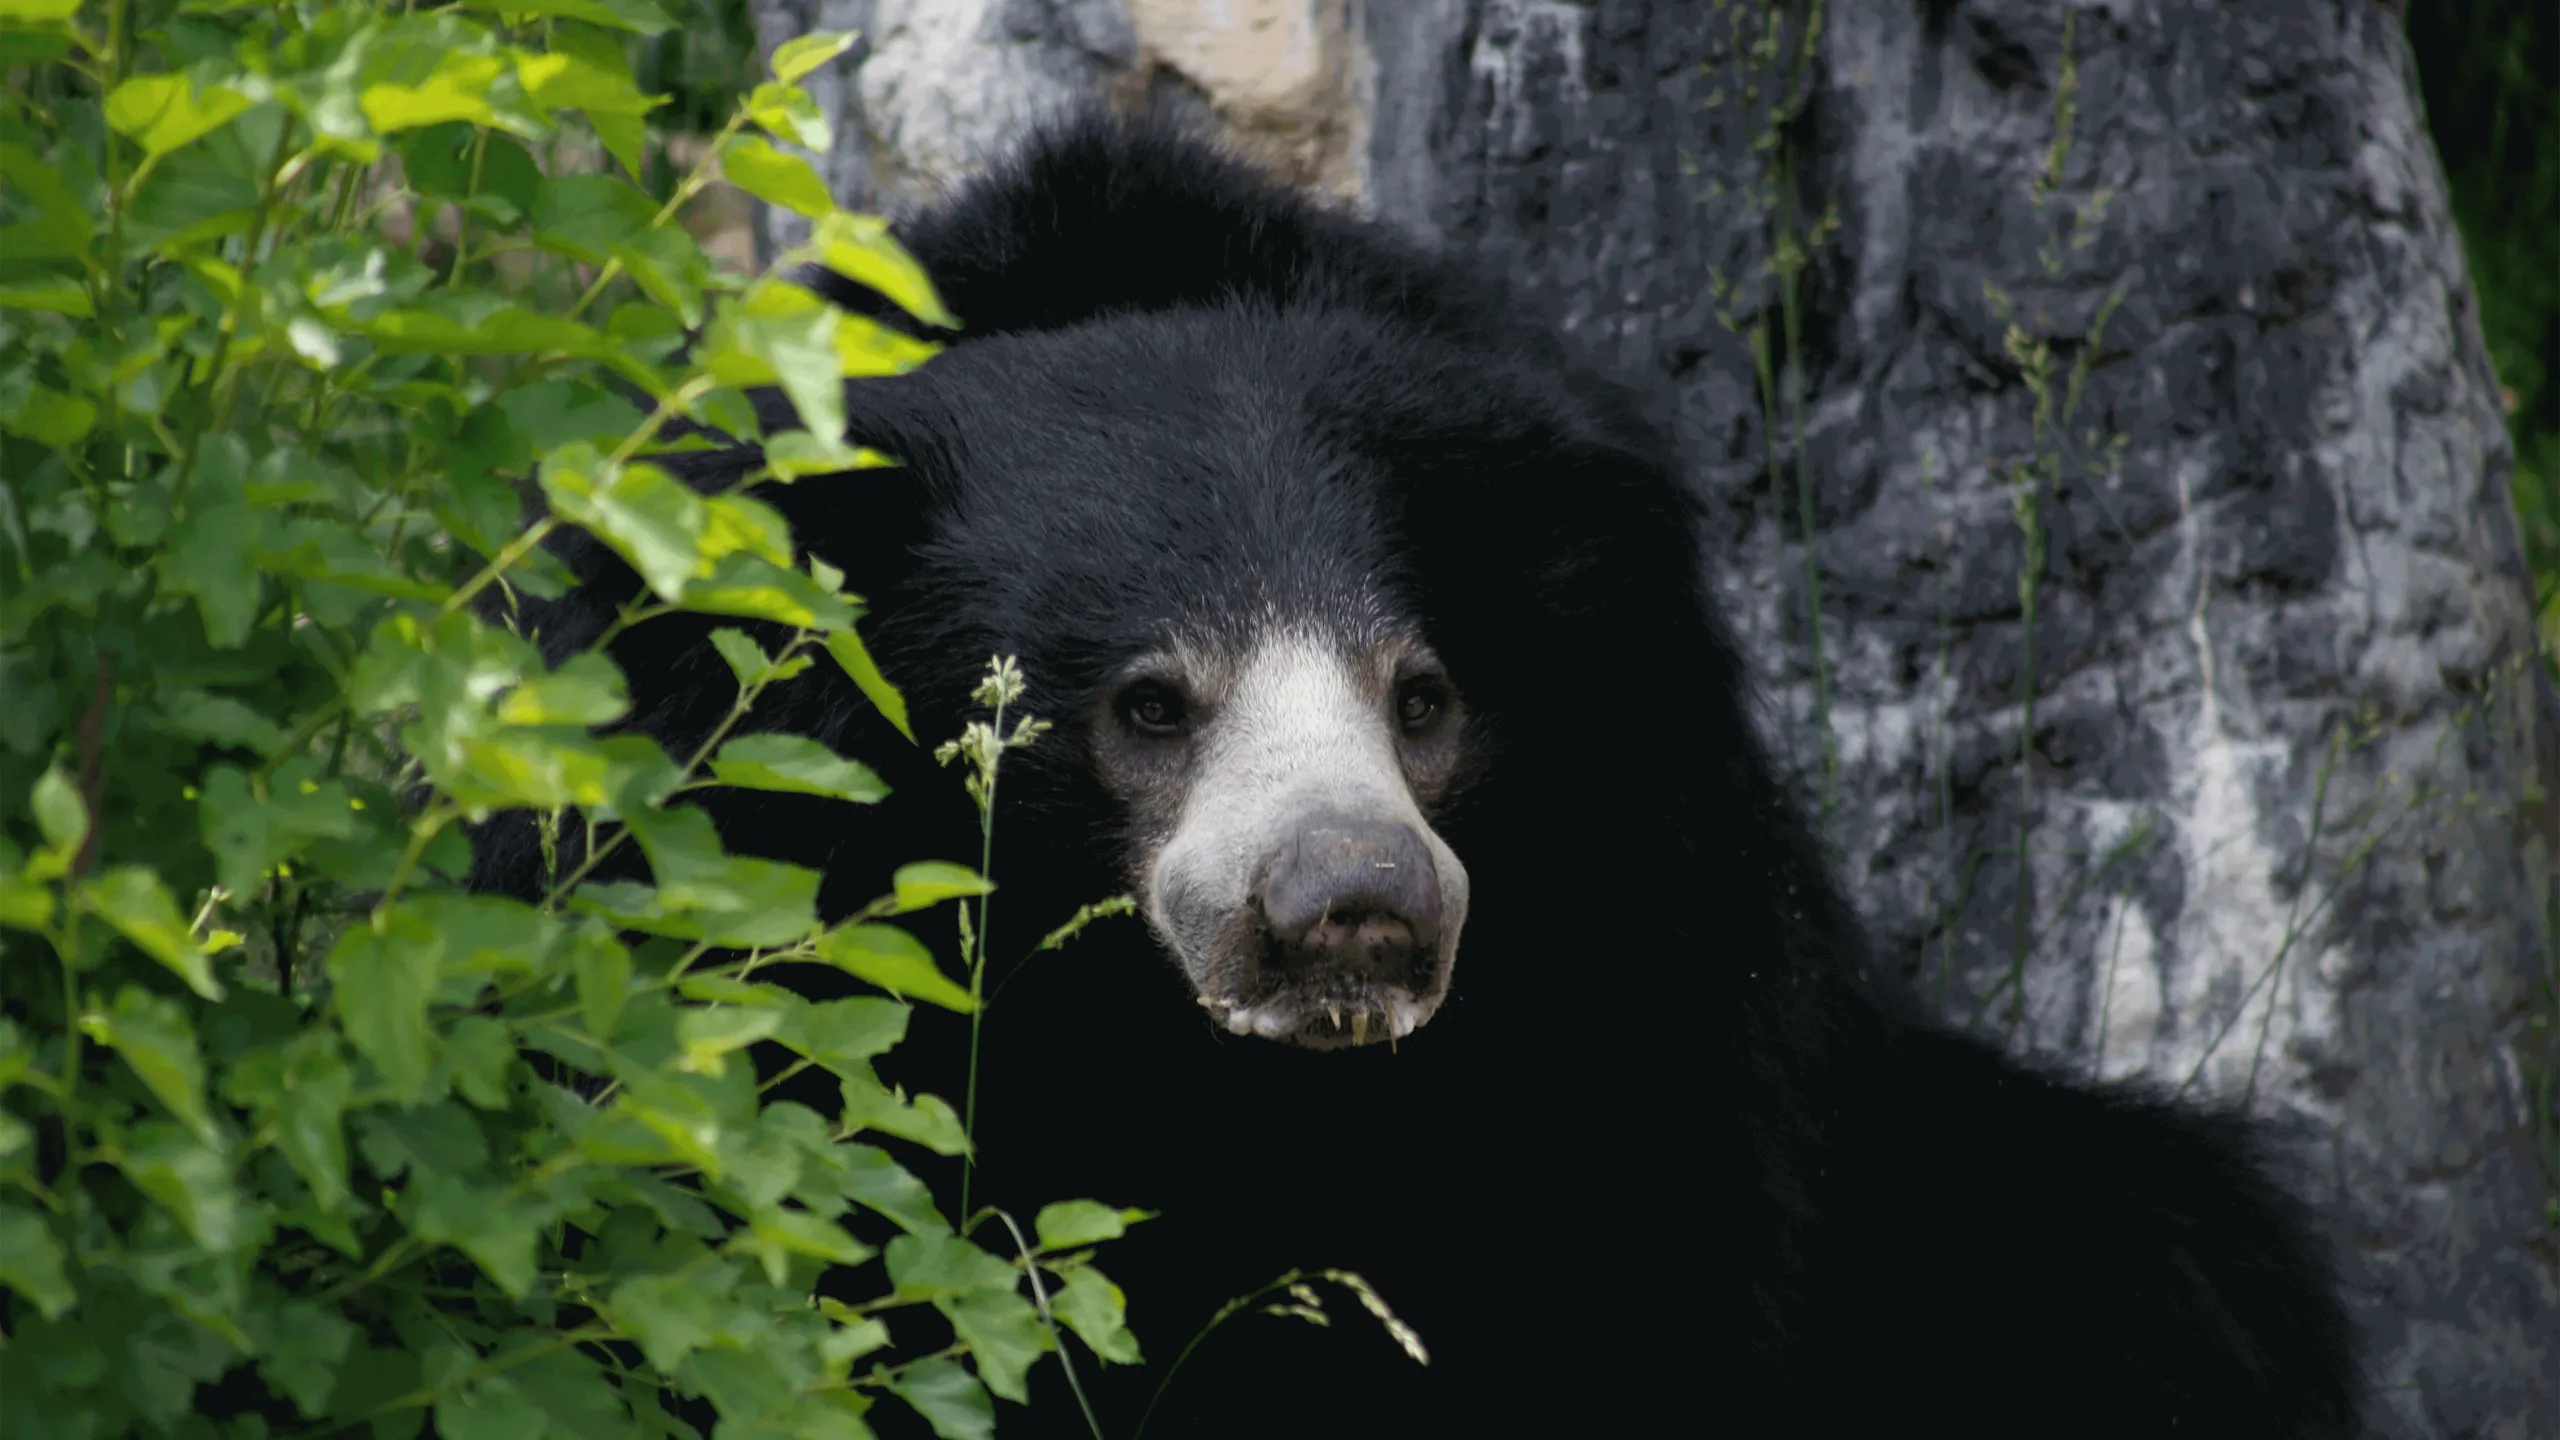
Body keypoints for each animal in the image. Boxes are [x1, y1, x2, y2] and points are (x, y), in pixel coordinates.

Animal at [470, 110, 2362, 1439]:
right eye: (1144, 707)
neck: (1219, 1092)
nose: (1351, 907)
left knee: (2160, 1261)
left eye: (1426, 695)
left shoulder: (1652, 941)